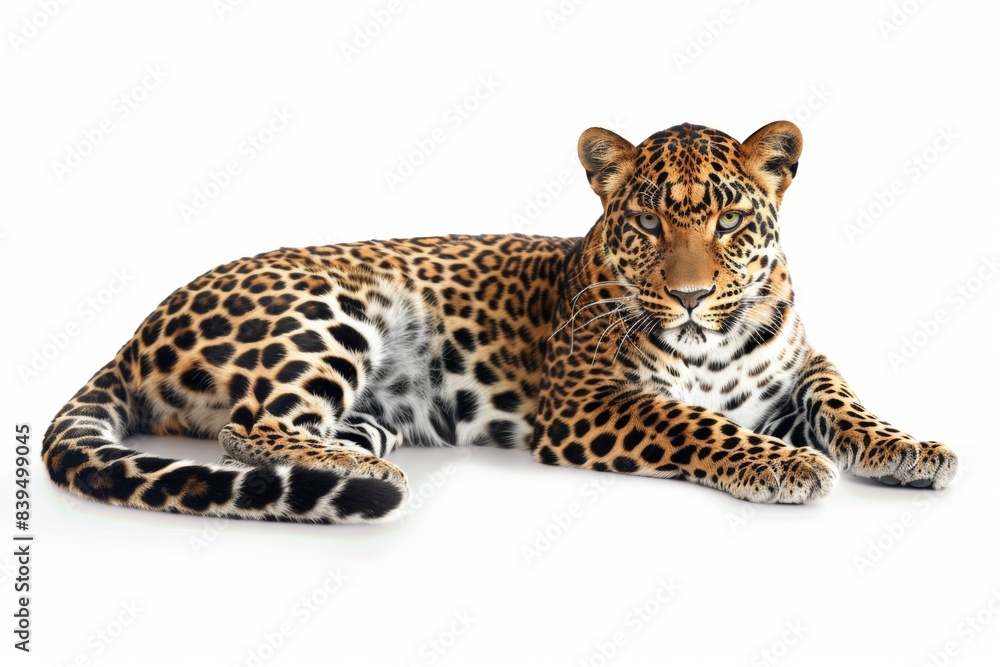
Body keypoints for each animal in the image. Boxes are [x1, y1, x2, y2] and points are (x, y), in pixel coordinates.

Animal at [42, 120, 959, 523]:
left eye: (730, 222)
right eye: (648, 222)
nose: (694, 295)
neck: (718, 340)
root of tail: (135, 331)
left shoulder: (799, 364)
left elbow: (844, 401)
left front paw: (911, 448)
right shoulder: (587, 401)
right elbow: (695, 421)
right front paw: (779, 461)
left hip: (369, 397)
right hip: (323, 312)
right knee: (249, 427)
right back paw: (368, 477)